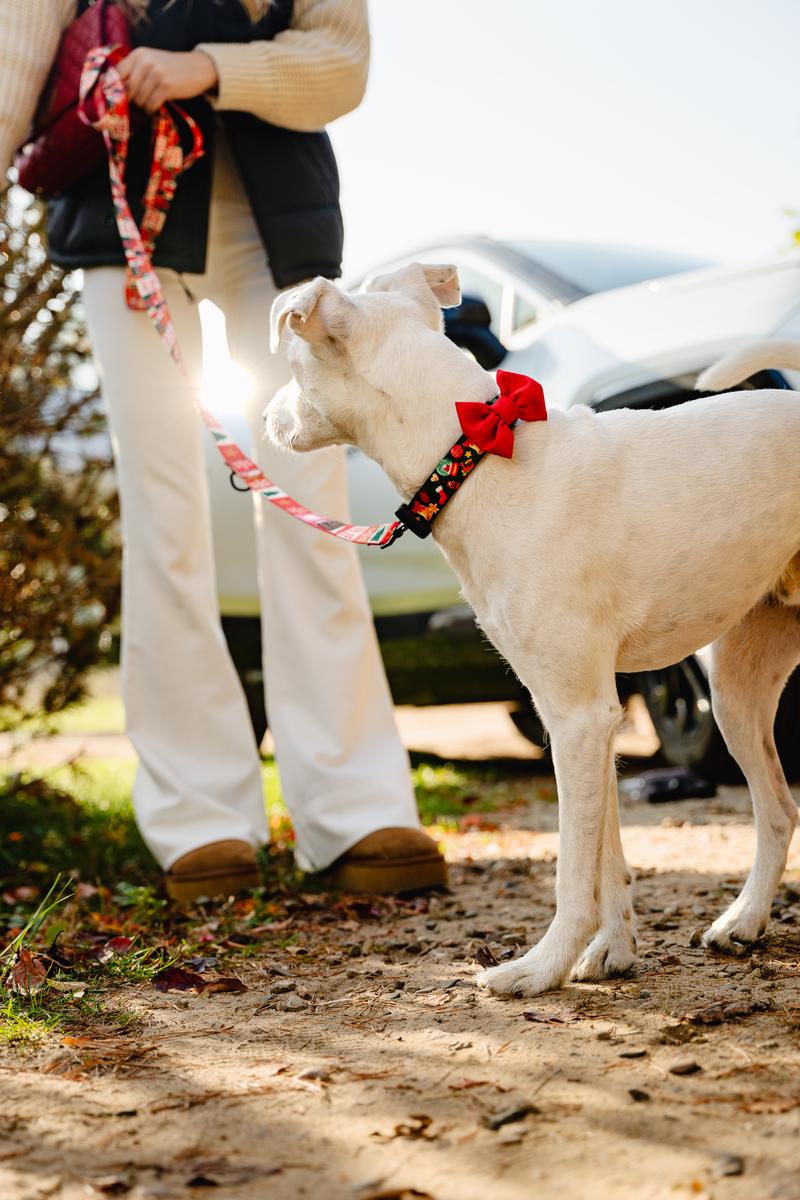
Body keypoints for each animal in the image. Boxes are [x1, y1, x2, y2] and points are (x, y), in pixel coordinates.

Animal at [265, 264, 800, 996]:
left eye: (292, 362)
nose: (263, 419)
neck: (475, 456)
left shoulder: (579, 717)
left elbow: (574, 870)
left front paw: (542, 967)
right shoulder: (579, 715)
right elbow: (607, 858)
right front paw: (610, 954)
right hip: (736, 693)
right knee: (778, 810)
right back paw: (744, 922)